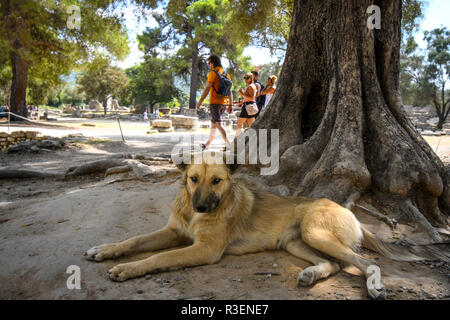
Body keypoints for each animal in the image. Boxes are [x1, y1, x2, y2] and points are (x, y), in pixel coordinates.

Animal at [85, 151, 450, 298]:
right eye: (193, 179)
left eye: (218, 181)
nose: (201, 207)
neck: (192, 213)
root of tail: (347, 209)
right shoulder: (173, 231)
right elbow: (133, 240)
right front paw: (106, 249)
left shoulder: (205, 250)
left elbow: (159, 257)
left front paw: (128, 268)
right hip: (296, 241)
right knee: (334, 264)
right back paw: (310, 274)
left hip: (314, 231)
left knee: (364, 261)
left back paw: (374, 285)